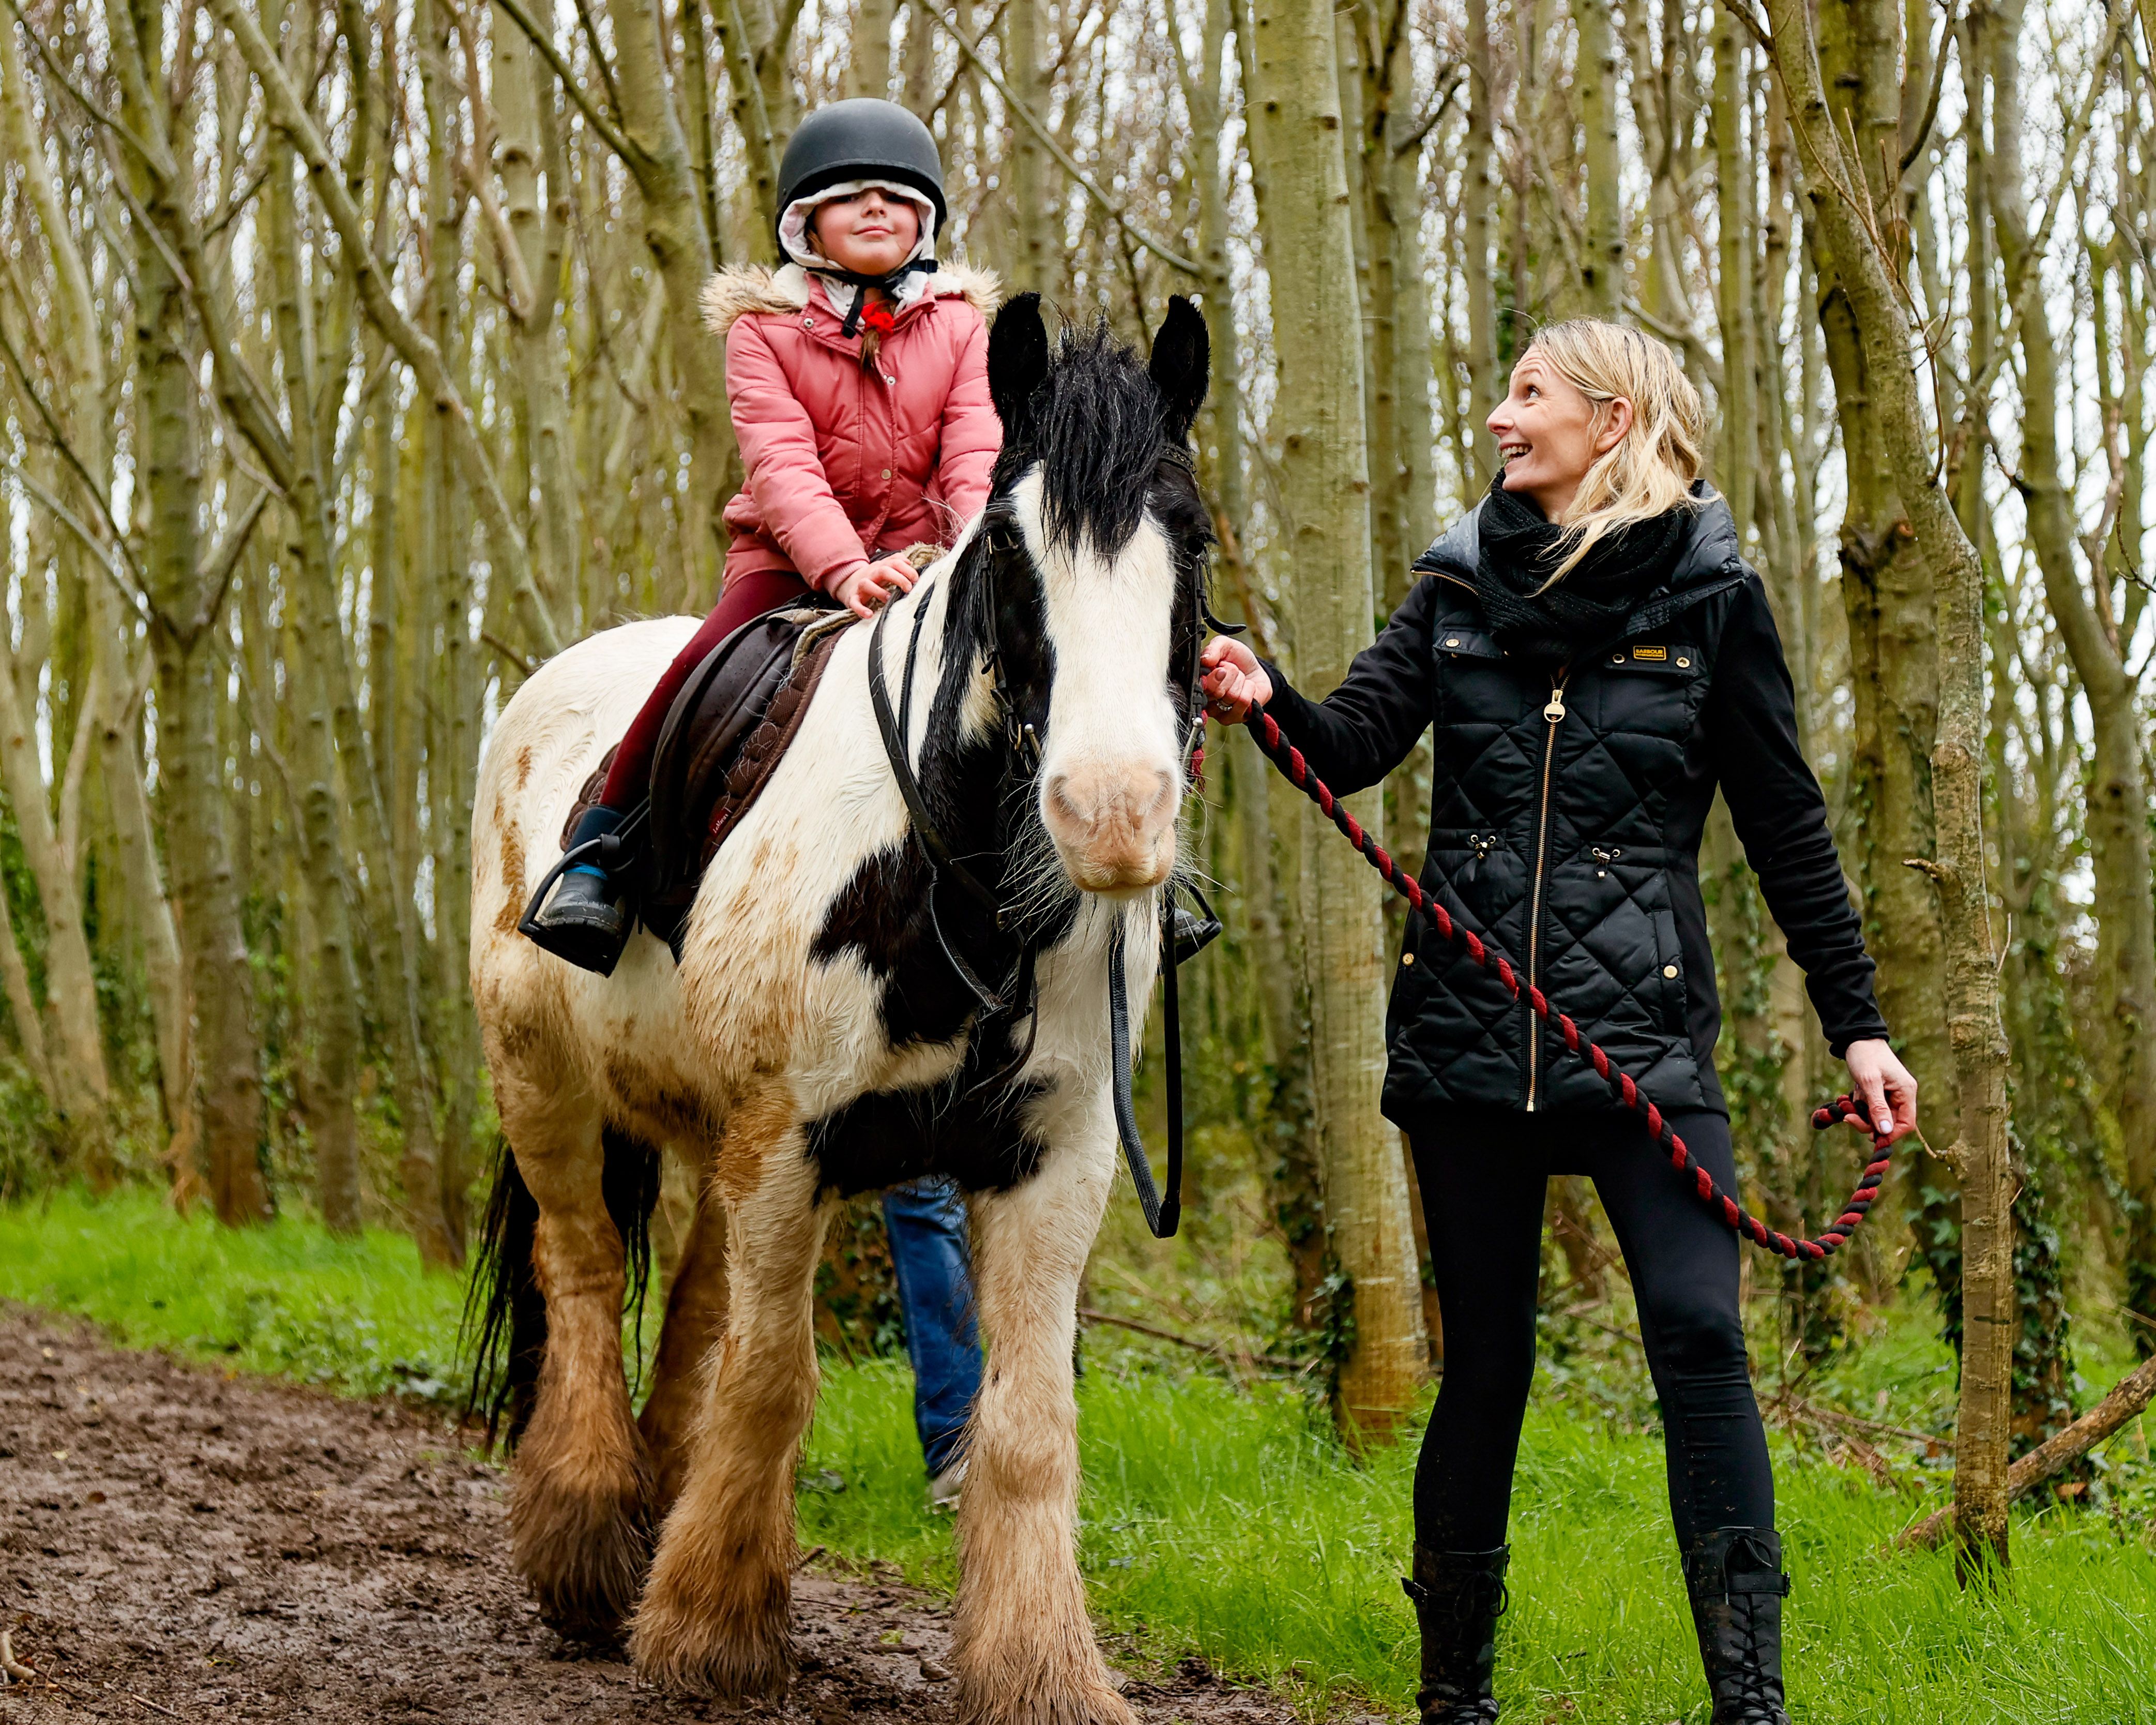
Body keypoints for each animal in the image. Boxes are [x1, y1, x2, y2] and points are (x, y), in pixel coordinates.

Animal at [467, 289, 1216, 1716]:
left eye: (1191, 538)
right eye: (1005, 549)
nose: (1113, 817)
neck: (960, 886)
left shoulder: (1054, 1157)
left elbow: (1025, 1424)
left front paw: (1040, 1668)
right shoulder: (789, 1143)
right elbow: (772, 1381)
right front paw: (713, 1634)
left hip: (712, 1127)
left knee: (693, 1307)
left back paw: (653, 1510)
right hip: (542, 1076)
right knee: (581, 1269)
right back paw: (590, 1540)